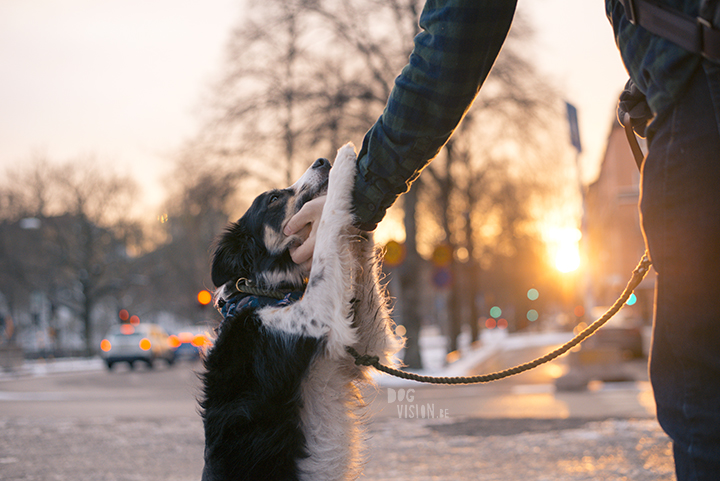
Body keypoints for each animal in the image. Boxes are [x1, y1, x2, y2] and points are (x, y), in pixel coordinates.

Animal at [200, 143, 400, 480]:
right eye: (273, 199)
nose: (321, 160)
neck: (264, 294)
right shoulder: (315, 315)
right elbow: (327, 230)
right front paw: (343, 163)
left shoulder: (359, 348)